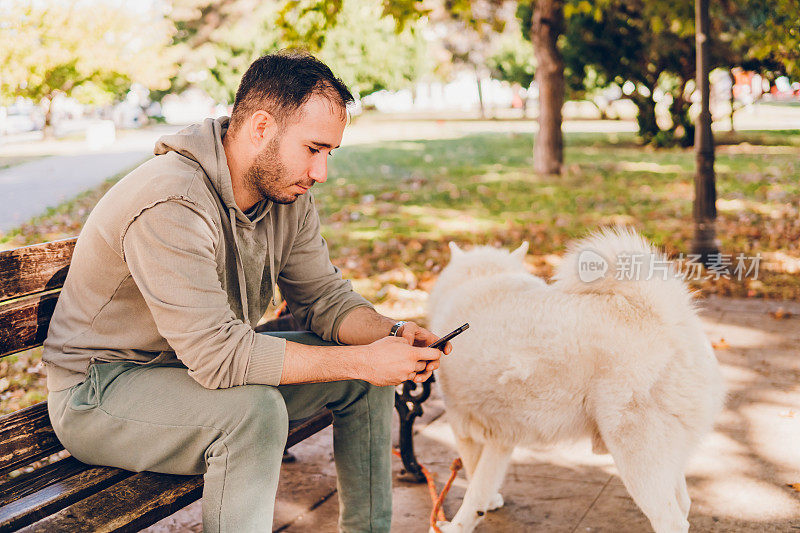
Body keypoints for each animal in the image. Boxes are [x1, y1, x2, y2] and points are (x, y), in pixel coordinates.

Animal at [432, 227, 724, 528]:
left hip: (637, 458)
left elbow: (474, 482)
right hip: (668, 457)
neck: (480, 278)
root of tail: (667, 319)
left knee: (671, 520)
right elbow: (482, 482)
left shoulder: (465, 427)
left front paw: (461, 522)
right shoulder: (501, 437)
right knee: (684, 504)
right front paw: (489, 502)